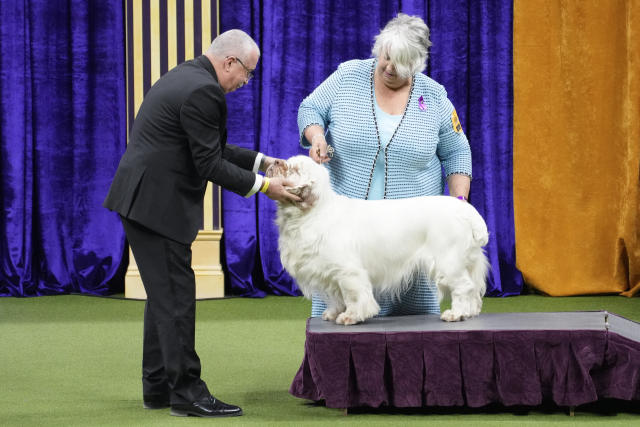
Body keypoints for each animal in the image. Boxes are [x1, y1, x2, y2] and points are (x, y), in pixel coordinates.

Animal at [264, 155, 490, 326]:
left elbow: (353, 295)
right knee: (473, 289)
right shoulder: (330, 271)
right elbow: (336, 295)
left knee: (464, 286)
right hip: (467, 261)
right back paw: (469, 312)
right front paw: (333, 313)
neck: (314, 211)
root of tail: (467, 211)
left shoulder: (348, 271)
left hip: (448, 261)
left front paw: (351, 316)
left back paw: (456, 313)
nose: (275, 162)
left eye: (293, 169)